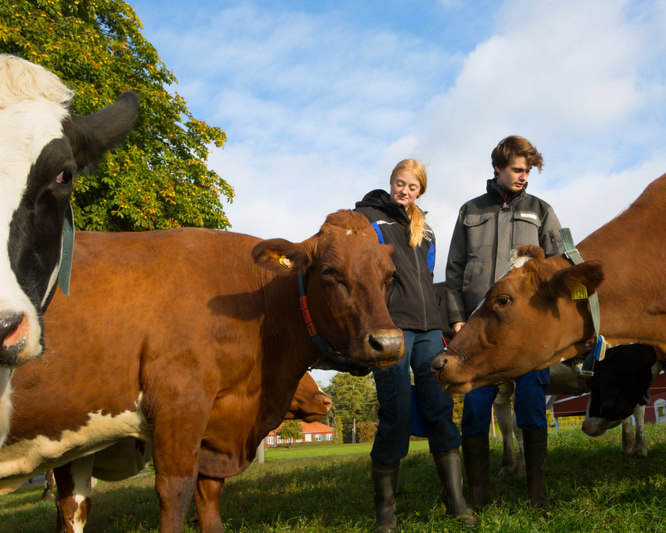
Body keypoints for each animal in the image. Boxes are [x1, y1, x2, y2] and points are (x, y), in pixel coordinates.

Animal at [0, 211, 402, 532]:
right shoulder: (179, 404)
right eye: (329, 271)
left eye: (390, 276)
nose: (388, 343)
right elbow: (175, 491)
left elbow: (207, 495)